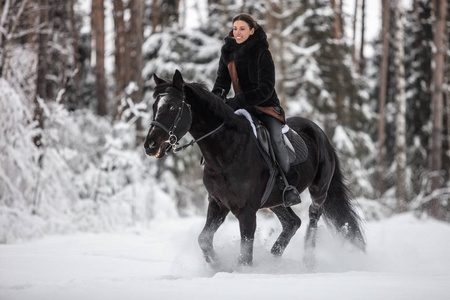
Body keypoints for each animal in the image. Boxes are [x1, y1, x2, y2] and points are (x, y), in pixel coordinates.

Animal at [145, 71, 366, 268]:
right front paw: (216, 265)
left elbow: (245, 254)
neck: (226, 151)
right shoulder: (218, 203)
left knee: (313, 217)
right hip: (277, 201)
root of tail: (320, 132)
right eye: (155, 106)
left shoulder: (247, 211)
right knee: (292, 222)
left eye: (172, 106)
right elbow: (204, 239)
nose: (151, 146)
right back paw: (273, 259)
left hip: (319, 189)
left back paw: (307, 261)